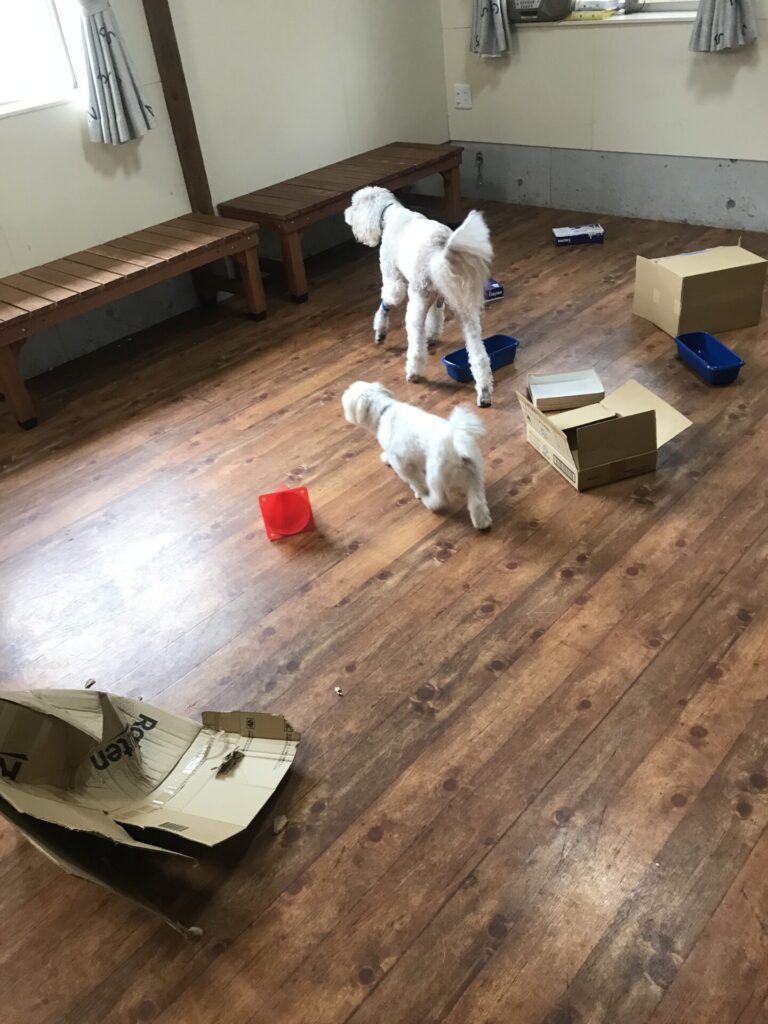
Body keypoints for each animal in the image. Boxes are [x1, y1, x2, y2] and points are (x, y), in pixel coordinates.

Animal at [341, 381, 492, 531]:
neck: (384, 410)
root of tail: (456, 444)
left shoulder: (402, 464)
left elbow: (416, 480)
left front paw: (419, 492)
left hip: (436, 476)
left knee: (439, 499)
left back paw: (429, 502)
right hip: (474, 474)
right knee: (477, 501)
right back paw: (482, 522)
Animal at [344, 187, 495, 407]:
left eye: (354, 205)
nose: (345, 214)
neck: (390, 213)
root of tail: (439, 251)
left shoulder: (394, 282)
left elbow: (386, 303)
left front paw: (380, 332)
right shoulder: (437, 298)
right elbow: (436, 317)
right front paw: (432, 335)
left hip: (416, 301)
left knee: (415, 340)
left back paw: (413, 372)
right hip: (466, 312)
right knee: (479, 356)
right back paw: (484, 393)